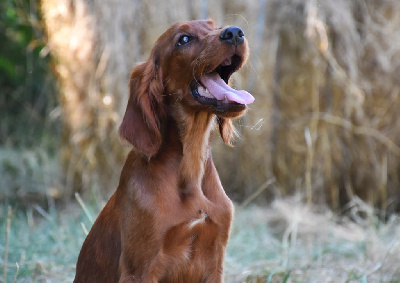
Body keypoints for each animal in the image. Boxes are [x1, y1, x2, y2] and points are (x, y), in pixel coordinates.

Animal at [74, 18, 255, 282]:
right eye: (184, 39)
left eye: (214, 25)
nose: (235, 32)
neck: (190, 165)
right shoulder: (140, 270)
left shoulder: (215, 262)